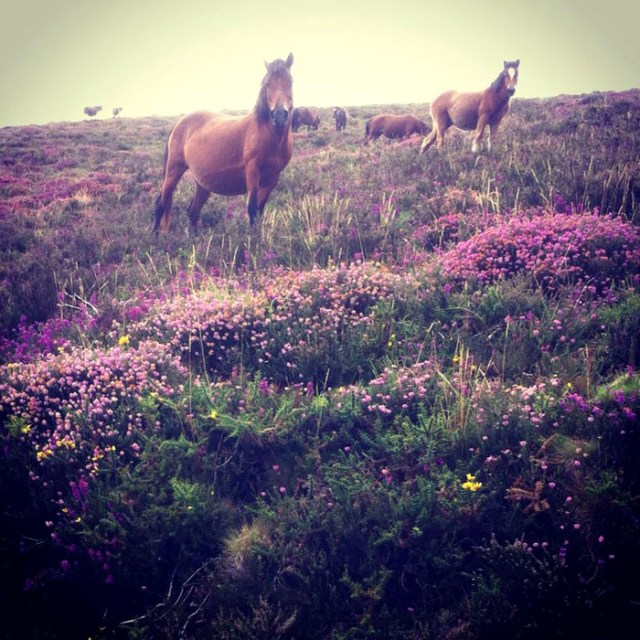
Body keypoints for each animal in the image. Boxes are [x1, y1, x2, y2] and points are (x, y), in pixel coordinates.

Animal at [153, 53, 294, 234]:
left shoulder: (273, 178)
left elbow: (259, 211)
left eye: (290, 81)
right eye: (267, 83)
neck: (267, 135)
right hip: (173, 171)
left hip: (202, 184)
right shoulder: (252, 172)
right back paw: (153, 237)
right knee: (161, 205)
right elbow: (252, 209)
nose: (279, 116)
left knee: (192, 211)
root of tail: (179, 122)